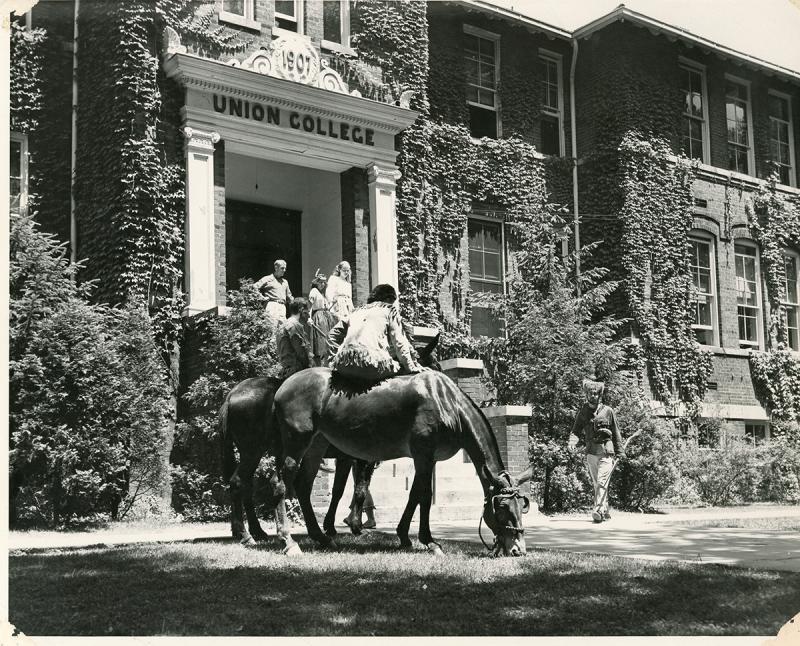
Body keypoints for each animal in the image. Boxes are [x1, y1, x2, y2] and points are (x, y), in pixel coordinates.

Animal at [274, 370, 532, 556]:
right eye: (502, 507)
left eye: (522, 506)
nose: (518, 549)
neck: (446, 402)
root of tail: (283, 386)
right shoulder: (423, 454)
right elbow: (423, 495)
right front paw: (427, 540)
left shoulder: (429, 458)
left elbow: (418, 495)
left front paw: (406, 536)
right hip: (297, 443)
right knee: (282, 485)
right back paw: (288, 541)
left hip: (316, 445)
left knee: (303, 487)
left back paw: (321, 537)